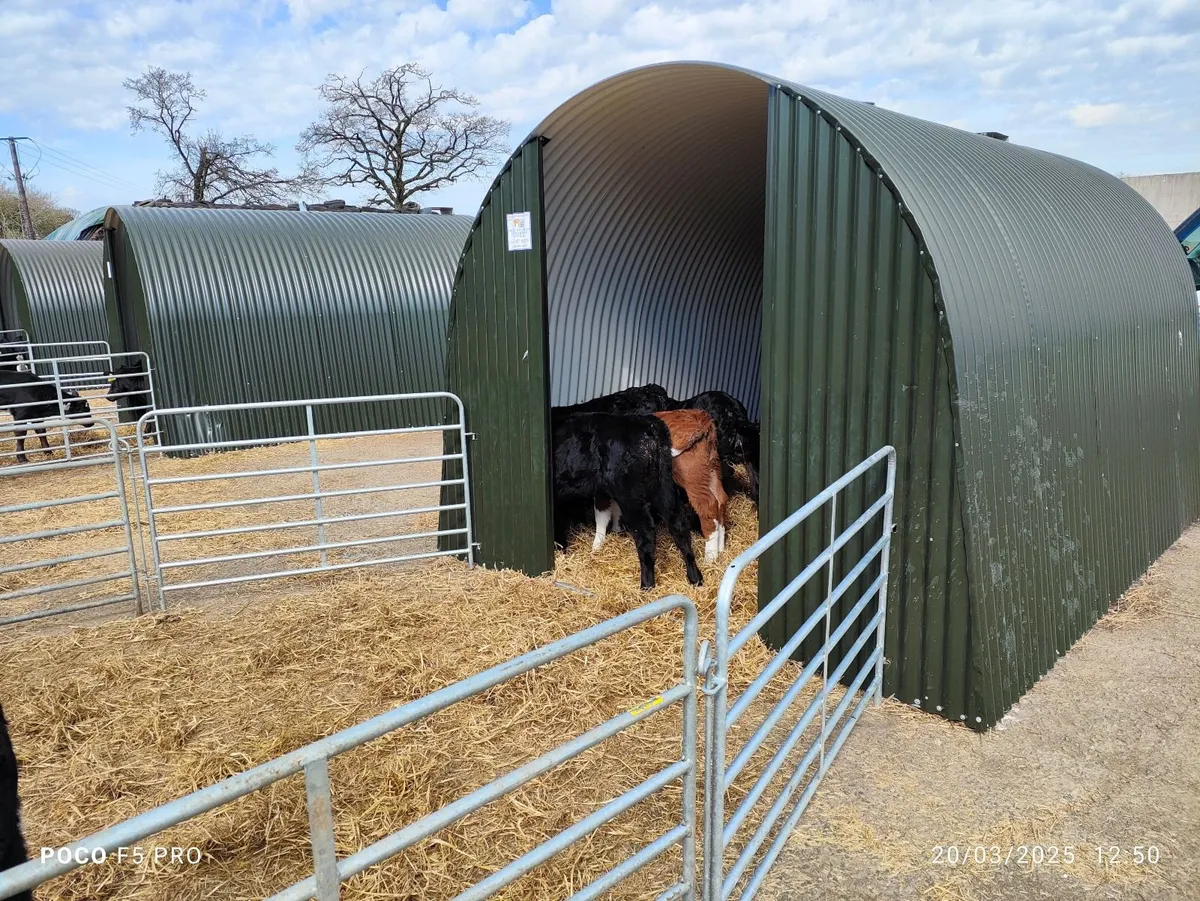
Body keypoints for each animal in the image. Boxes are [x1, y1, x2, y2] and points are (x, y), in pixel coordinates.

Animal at [552, 412, 702, 590]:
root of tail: (647, 424)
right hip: (664, 487)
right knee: (679, 527)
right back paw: (695, 577)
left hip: (630, 495)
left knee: (646, 533)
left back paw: (647, 585)